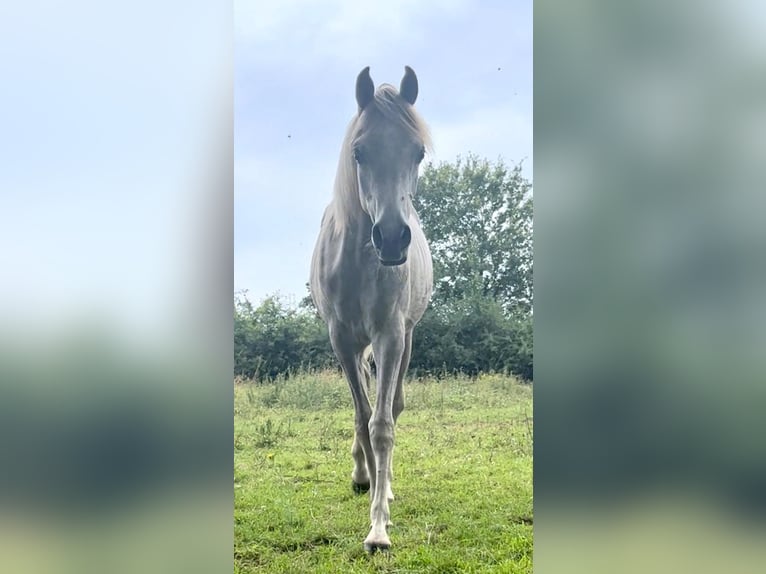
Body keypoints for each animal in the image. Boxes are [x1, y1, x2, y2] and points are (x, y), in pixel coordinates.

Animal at [308, 66, 436, 552]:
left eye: (418, 151)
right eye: (359, 152)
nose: (393, 238)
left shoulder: (390, 336)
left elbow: (383, 423)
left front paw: (378, 526)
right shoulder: (342, 341)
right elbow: (362, 416)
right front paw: (363, 477)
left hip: (406, 341)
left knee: (394, 406)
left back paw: (387, 483)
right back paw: (364, 474)